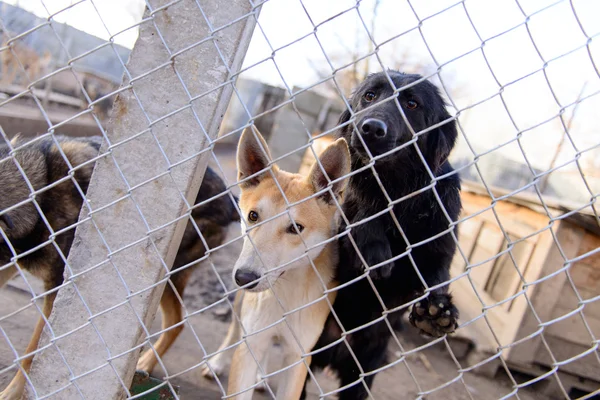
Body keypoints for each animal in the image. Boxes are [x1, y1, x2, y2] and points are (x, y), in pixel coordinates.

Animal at [213, 129, 350, 400]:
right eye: (253, 216)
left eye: (295, 228)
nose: (244, 278)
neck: (285, 291)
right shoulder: (250, 344)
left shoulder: (298, 358)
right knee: (235, 329)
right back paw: (217, 361)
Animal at [304, 70, 464, 398]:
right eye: (370, 96)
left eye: (412, 103)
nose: (371, 128)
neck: (396, 191)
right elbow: (361, 212)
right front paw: (374, 247)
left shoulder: (436, 253)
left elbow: (437, 277)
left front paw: (435, 313)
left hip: (363, 371)